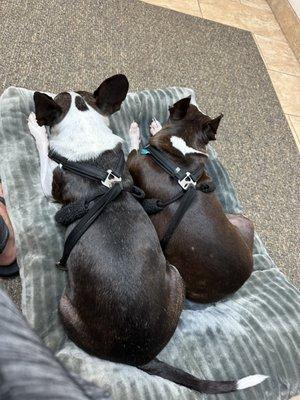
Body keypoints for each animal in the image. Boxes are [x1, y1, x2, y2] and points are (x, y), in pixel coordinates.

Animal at [126, 97, 253, 304]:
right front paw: (156, 126)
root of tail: (239, 283)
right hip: (243, 222)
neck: (177, 156)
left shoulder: (134, 161)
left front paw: (136, 131)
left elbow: (133, 147)